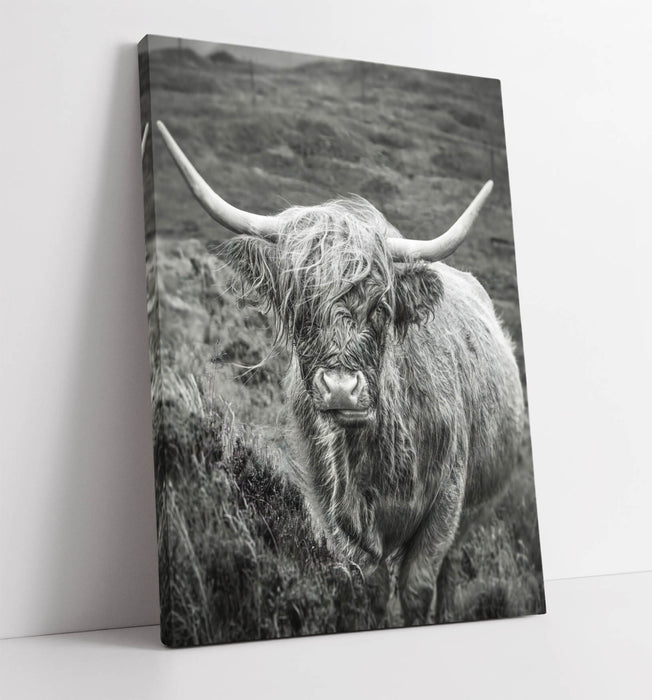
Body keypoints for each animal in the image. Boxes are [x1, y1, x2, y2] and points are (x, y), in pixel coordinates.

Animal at [156, 121, 524, 625]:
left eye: (381, 306)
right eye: (298, 305)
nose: (341, 389)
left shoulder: (446, 503)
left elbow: (418, 585)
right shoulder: (333, 512)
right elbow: (370, 586)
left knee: (450, 572)